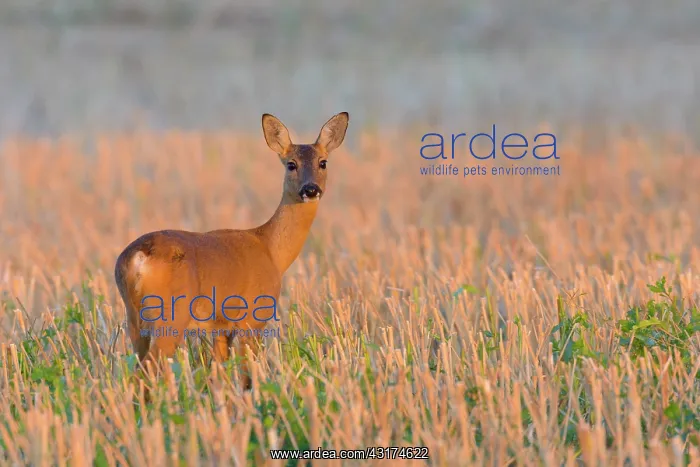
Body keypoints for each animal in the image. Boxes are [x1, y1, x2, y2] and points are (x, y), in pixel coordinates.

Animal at [114, 112, 349, 390]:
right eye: (291, 164)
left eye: (323, 162)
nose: (310, 189)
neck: (272, 250)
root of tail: (138, 257)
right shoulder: (254, 315)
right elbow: (248, 376)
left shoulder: (220, 325)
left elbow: (220, 374)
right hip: (170, 315)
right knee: (148, 370)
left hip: (134, 318)